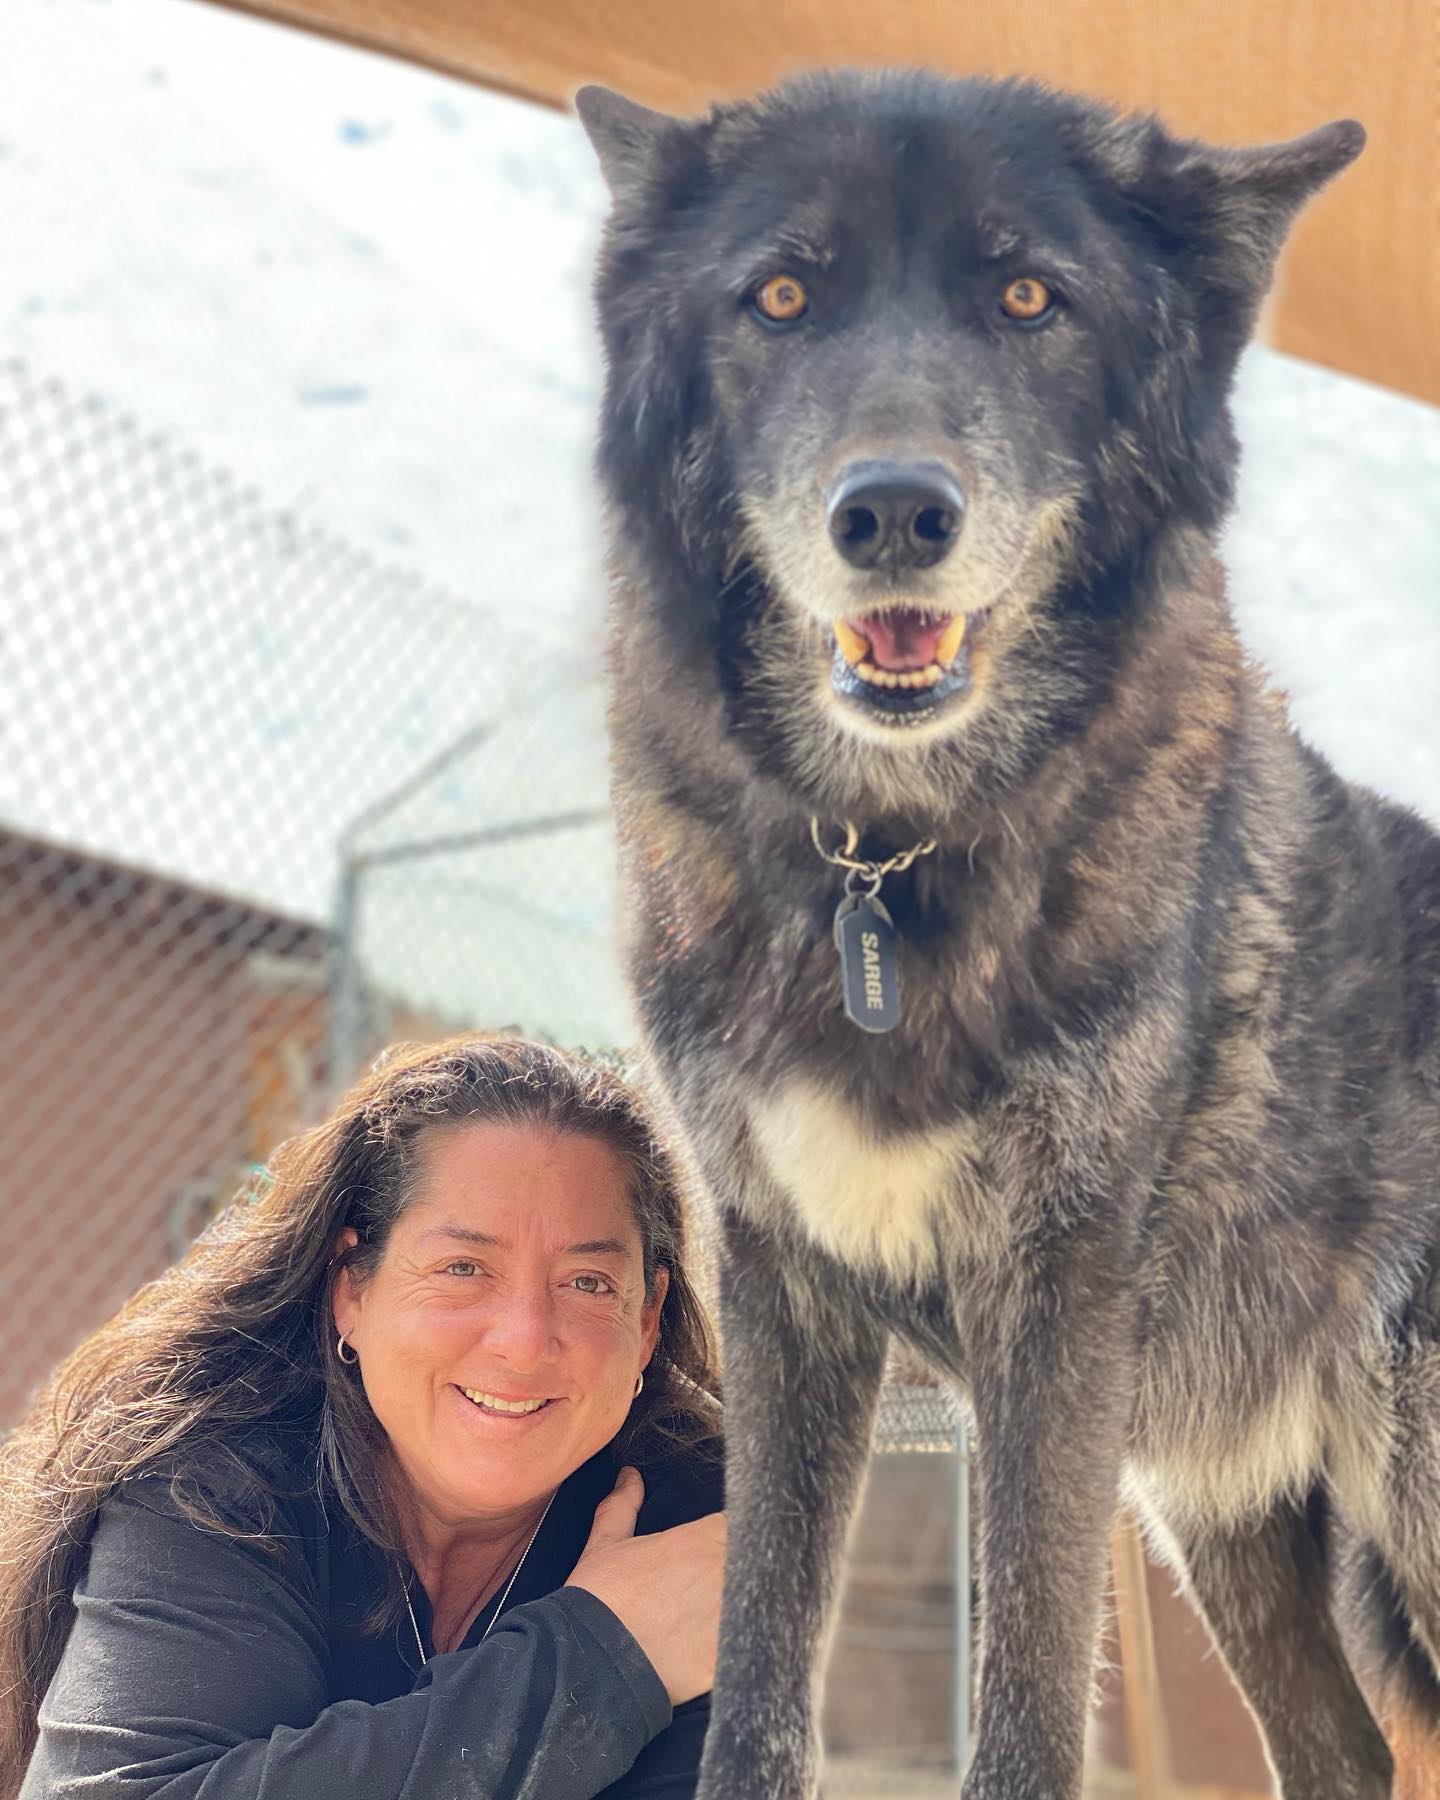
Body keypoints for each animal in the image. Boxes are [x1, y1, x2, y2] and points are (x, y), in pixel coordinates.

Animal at [576, 70, 1440, 1800]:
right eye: (782, 296)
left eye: (1030, 298)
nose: (896, 512)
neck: (887, 862)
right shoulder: (785, 1288)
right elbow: (759, 1676)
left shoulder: (1058, 1311)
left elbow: (1031, 1700)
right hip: (1230, 1513)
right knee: (1345, 1756)